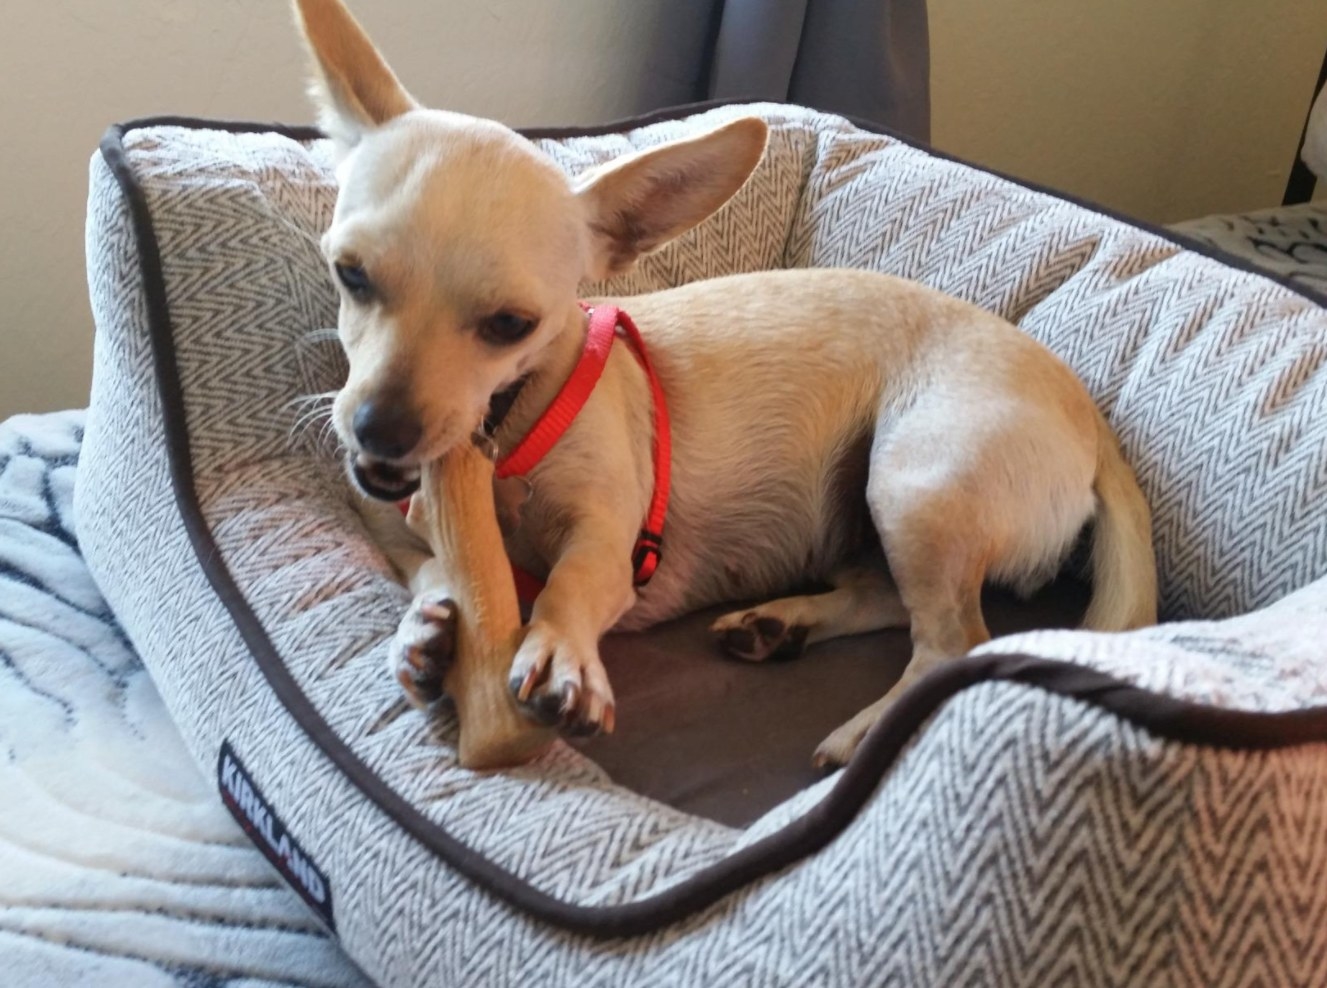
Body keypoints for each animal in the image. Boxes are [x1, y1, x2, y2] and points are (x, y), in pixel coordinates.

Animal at [295, 0, 1157, 763]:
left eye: (511, 325)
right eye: (350, 275)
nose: (378, 430)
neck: (510, 437)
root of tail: (1089, 422)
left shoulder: (608, 540)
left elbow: (569, 586)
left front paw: (561, 651)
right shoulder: (396, 531)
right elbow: (429, 570)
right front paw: (423, 631)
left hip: (913, 486)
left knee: (950, 645)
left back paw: (866, 733)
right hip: (879, 517)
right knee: (889, 601)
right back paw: (780, 626)